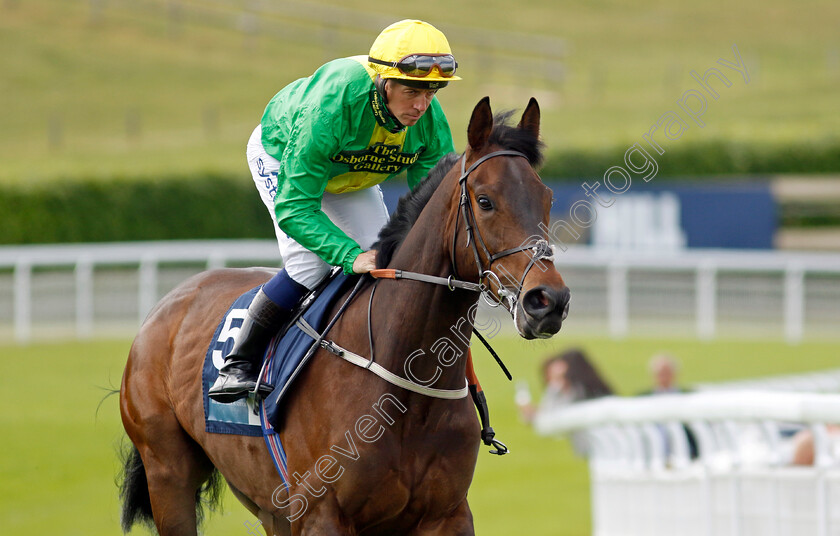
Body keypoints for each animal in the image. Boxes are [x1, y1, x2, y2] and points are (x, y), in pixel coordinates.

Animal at [120, 97, 572, 536]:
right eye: (485, 201)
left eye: (548, 198)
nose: (548, 300)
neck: (406, 383)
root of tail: (169, 302)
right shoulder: (321, 514)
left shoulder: (447, 515)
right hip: (168, 473)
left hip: (270, 507)